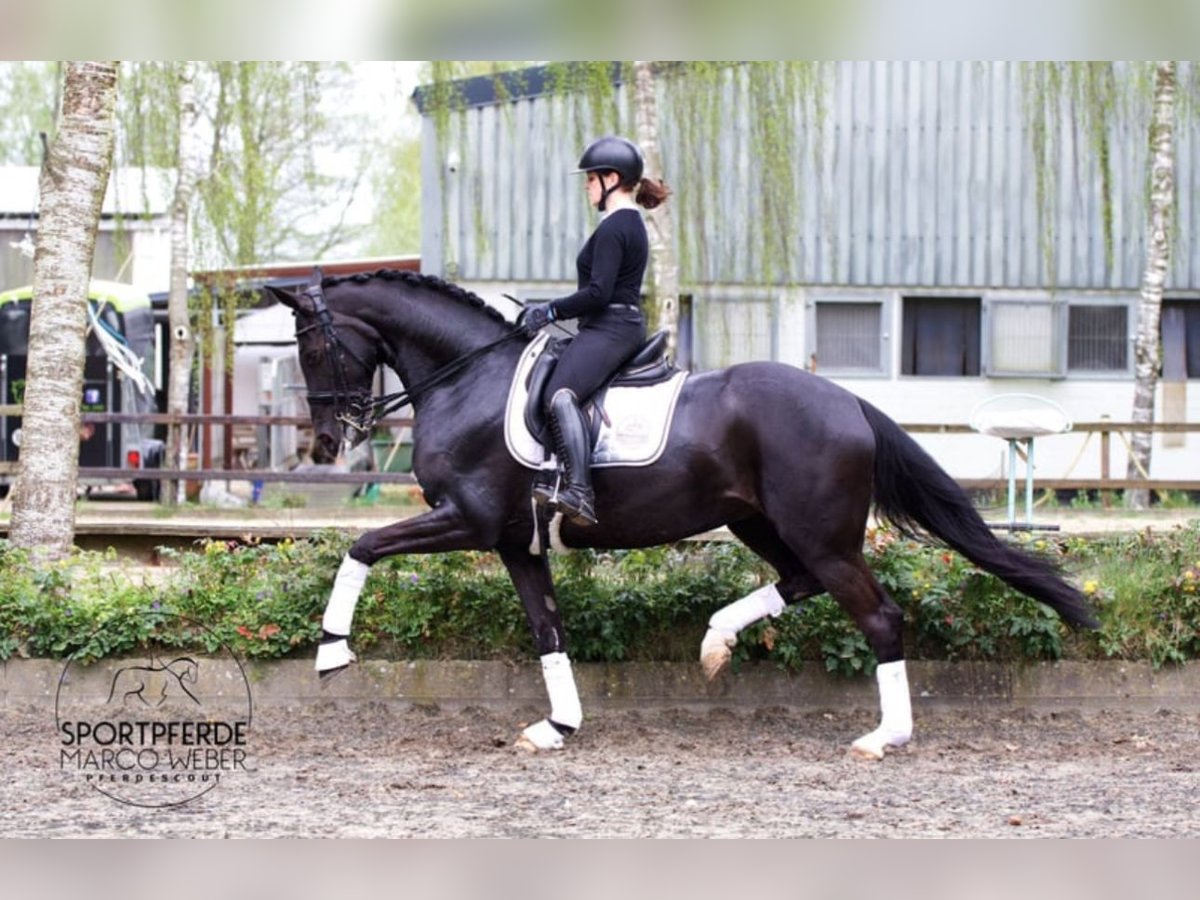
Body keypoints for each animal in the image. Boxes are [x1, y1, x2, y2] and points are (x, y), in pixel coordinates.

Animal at [270, 270, 1099, 763]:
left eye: (311, 348)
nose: (327, 441)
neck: (468, 377)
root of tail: (848, 401)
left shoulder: (467, 520)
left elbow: (364, 548)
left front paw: (331, 651)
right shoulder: (513, 542)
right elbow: (548, 630)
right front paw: (558, 726)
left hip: (821, 535)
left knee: (880, 616)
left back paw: (882, 735)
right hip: (763, 524)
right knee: (799, 583)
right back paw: (714, 642)